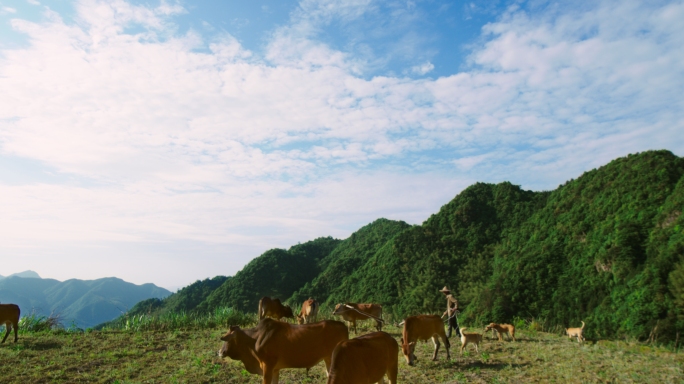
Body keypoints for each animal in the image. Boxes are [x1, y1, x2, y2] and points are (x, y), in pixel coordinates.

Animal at [219, 318, 348, 384]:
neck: (254, 340)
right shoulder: (275, 369)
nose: (219, 352)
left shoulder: (267, 366)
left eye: (227, 339)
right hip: (328, 359)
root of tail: (343, 325)